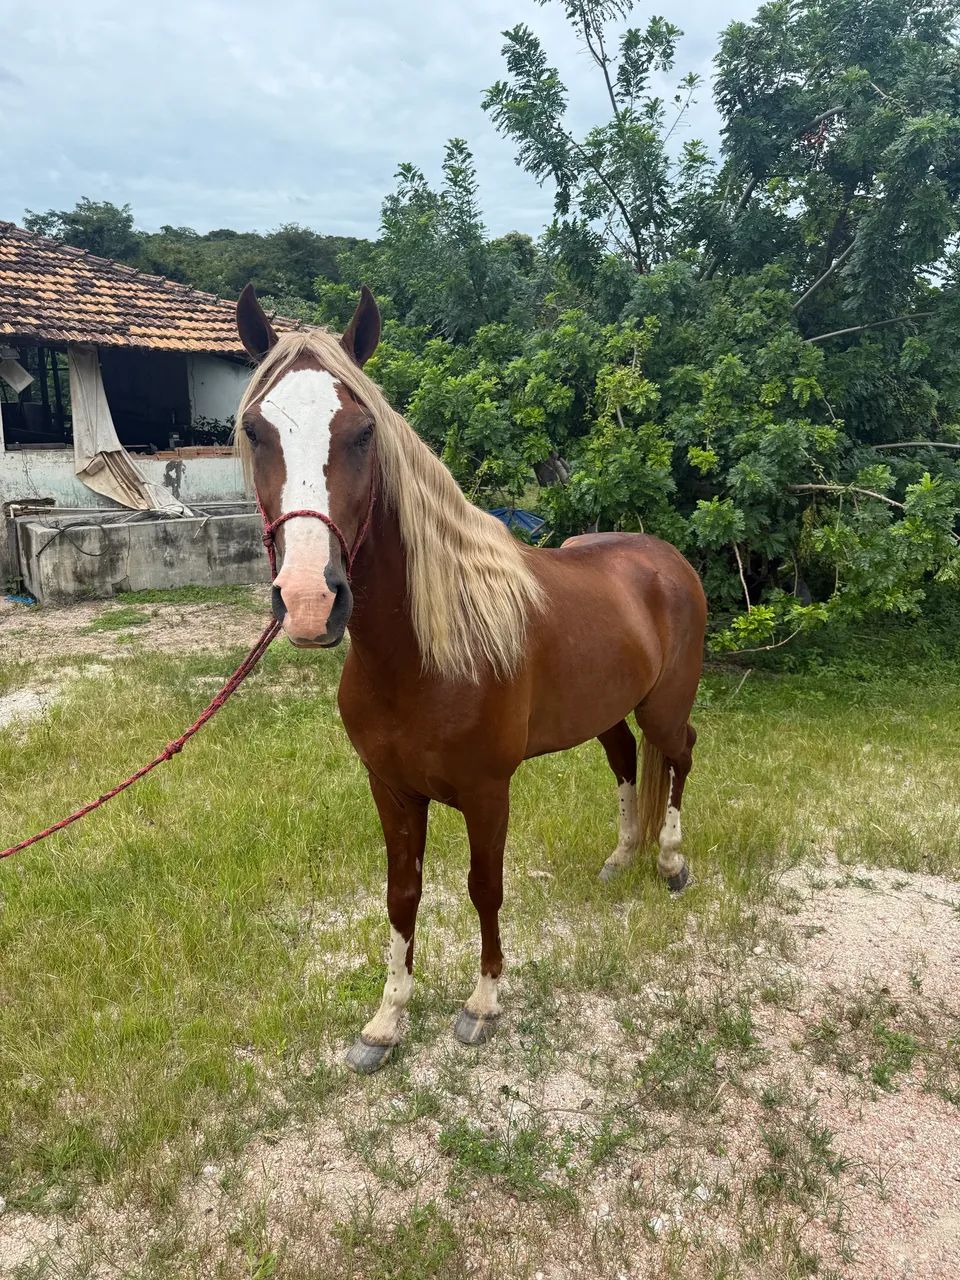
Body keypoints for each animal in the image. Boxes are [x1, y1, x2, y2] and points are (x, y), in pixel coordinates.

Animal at [234, 284, 707, 1074]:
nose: (308, 600)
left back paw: (670, 863)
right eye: (254, 430)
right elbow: (402, 895)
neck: (422, 657)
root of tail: (665, 558)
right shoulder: (392, 790)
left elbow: (485, 888)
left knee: (677, 757)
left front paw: (482, 1004)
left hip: (665, 706)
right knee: (625, 761)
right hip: (609, 711)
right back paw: (621, 858)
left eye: (362, 432)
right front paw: (386, 1022)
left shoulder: (489, 793)